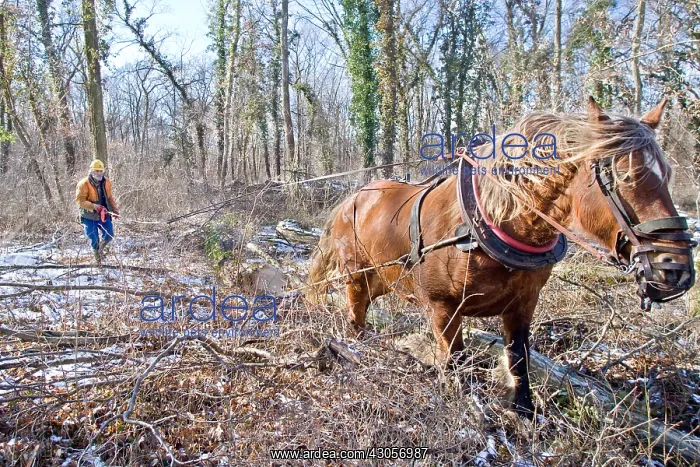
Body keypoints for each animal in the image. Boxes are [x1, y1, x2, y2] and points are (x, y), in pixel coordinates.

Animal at [307, 97, 696, 416]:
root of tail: (352, 198)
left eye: (667, 174)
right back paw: (357, 351)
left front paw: (523, 409)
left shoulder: (523, 303)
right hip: (357, 275)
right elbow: (454, 359)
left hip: (385, 278)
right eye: (623, 175)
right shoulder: (442, 307)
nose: (675, 269)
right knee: (355, 311)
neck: (496, 221)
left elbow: (518, 357)